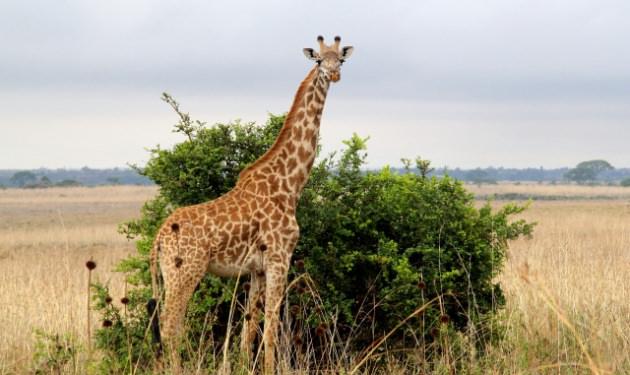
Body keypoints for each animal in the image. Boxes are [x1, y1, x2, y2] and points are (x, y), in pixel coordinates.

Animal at [148, 34, 356, 374]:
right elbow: (271, 326)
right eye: (318, 60)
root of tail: (158, 240)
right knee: (169, 326)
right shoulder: (279, 257)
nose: (334, 74)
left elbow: (250, 328)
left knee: (166, 325)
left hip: (170, 275)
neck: (290, 184)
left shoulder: (256, 269)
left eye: (340, 59)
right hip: (185, 272)